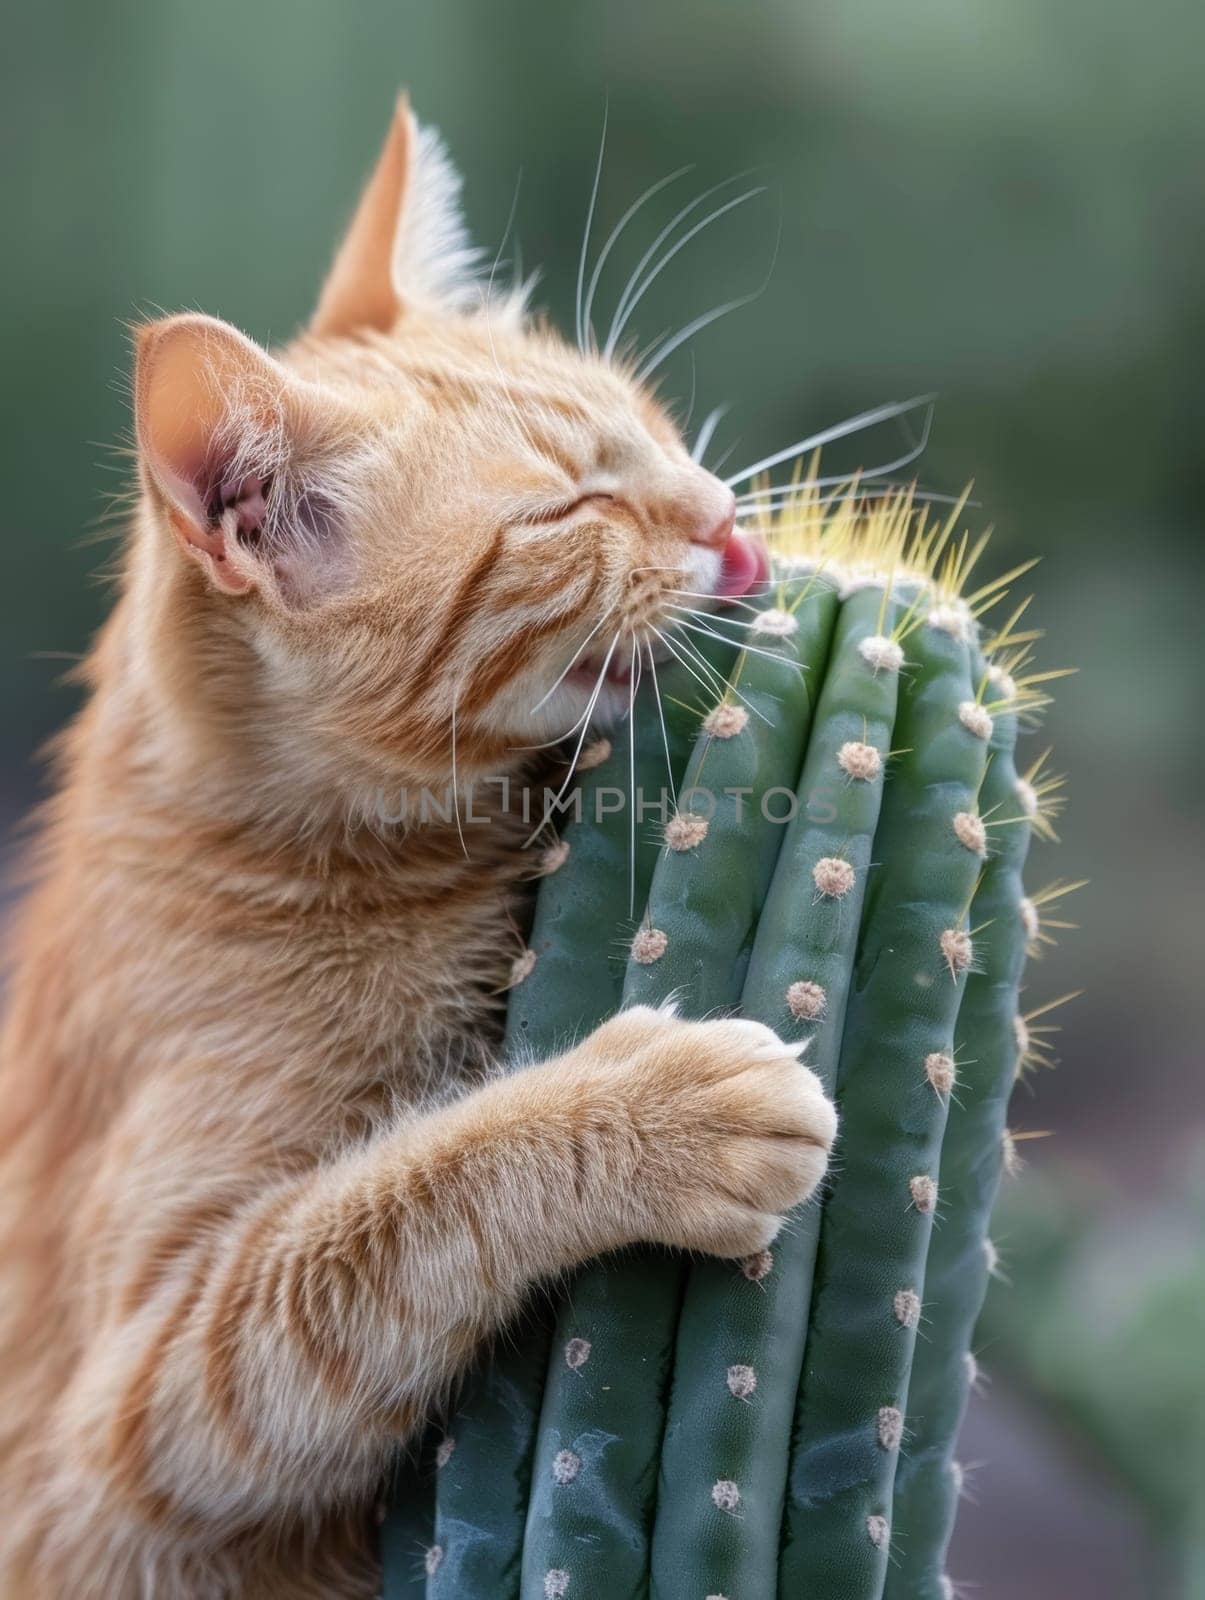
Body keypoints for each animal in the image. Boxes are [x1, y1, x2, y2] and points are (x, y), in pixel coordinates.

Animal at [0, 103, 838, 1600]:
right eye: (566, 513)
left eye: (651, 427)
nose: (726, 519)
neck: (310, 861)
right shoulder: (137, 1408)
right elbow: (401, 1205)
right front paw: (657, 1110)